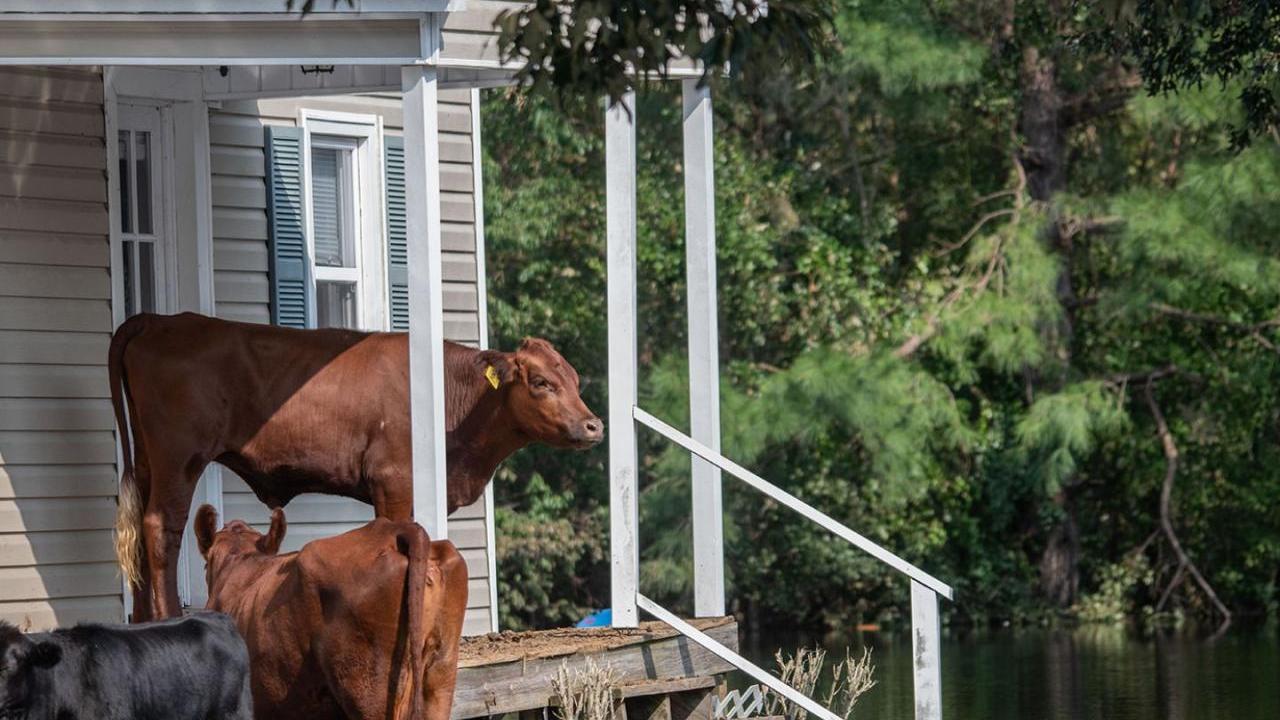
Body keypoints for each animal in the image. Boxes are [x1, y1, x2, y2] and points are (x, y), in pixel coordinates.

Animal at [109, 311, 602, 621]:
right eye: (541, 381)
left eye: (575, 379)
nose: (594, 425)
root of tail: (162, 319)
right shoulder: (394, 481)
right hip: (178, 457)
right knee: (161, 527)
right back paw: (166, 617)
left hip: (149, 458)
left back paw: (140, 619)